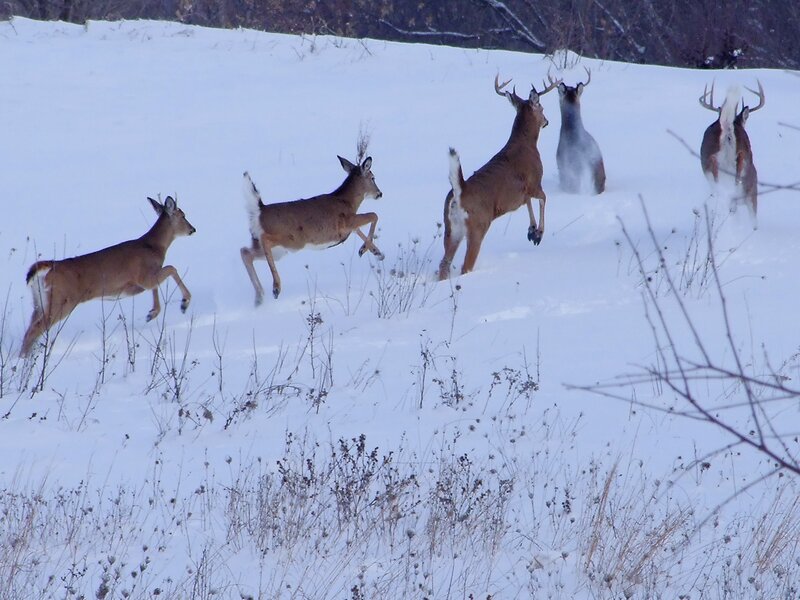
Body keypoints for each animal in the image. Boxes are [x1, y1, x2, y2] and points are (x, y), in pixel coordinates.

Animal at [21, 196, 196, 356]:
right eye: (183, 215)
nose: (193, 229)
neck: (154, 247)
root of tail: (46, 267)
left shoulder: (146, 278)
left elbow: (157, 285)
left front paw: (151, 313)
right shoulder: (143, 276)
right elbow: (171, 269)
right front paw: (184, 302)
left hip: (39, 302)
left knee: (30, 328)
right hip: (62, 300)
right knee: (35, 329)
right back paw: (26, 360)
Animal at [240, 154, 384, 304]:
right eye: (373, 177)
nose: (379, 193)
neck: (347, 202)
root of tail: (259, 211)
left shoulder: (348, 227)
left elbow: (359, 229)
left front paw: (376, 252)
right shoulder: (345, 223)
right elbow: (374, 215)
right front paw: (365, 250)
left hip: (275, 248)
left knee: (246, 252)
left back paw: (259, 297)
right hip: (291, 239)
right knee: (263, 240)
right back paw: (276, 288)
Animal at [438, 73, 560, 281]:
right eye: (542, 107)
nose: (547, 121)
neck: (526, 144)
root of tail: (459, 191)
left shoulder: (522, 193)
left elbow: (528, 203)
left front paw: (531, 231)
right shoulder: (534, 182)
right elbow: (543, 198)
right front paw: (538, 234)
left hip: (451, 229)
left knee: (443, 264)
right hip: (478, 225)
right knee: (465, 266)